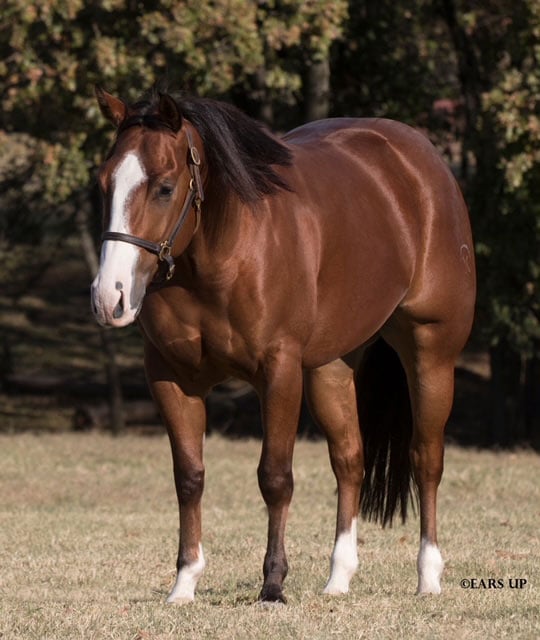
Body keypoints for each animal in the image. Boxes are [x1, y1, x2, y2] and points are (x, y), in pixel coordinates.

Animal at [90, 86, 474, 604]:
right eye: (104, 183)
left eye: (165, 188)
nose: (109, 297)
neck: (224, 254)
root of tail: (423, 161)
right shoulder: (171, 377)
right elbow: (189, 478)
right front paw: (184, 583)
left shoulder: (279, 371)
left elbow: (274, 477)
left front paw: (272, 583)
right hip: (331, 368)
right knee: (350, 461)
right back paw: (338, 579)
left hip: (430, 353)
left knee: (426, 459)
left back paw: (429, 577)